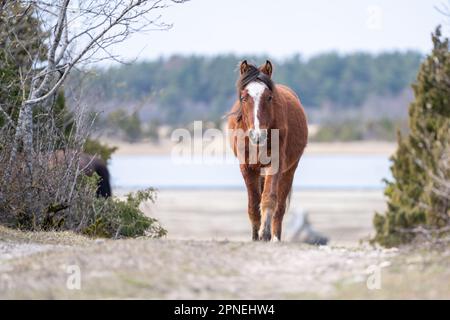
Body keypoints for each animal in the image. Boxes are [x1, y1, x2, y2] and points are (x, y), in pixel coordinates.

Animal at [229, 60, 310, 241]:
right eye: (244, 97)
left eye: (269, 97)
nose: (258, 135)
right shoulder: (247, 168)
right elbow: (253, 204)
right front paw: (255, 236)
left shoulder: (276, 164)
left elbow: (269, 198)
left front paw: (265, 234)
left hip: (288, 171)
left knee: (279, 208)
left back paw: (275, 238)